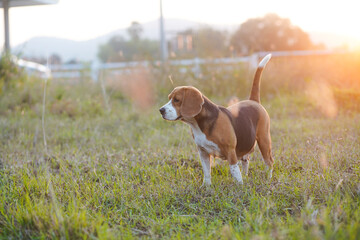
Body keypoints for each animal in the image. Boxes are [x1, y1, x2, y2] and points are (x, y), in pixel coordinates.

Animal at [159, 54, 274, 186]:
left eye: (177, 100)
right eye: (169, 98)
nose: (161, 110)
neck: (197, 125)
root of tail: (253, 101)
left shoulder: (230, 152)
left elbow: (235, 171)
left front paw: (240, 186)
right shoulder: (202, 152)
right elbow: (207, 172)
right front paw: (206, 186)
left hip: (264, 140)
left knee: (269, 162)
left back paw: (268, 179)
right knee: (246, 160)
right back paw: (246, 177)